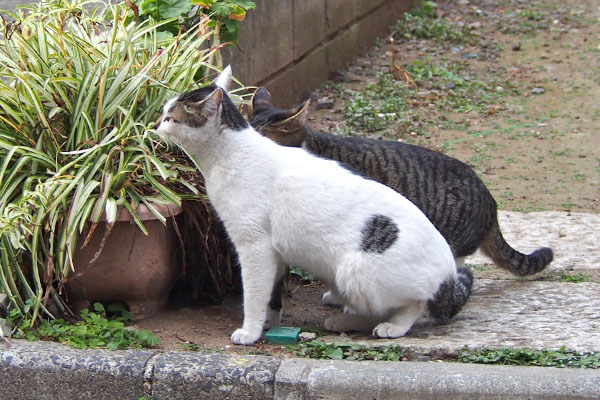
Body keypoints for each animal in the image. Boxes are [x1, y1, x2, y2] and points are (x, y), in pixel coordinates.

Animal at [156, 67, 474, 346]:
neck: (228, 156)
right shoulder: (275, 253)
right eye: (164, 114)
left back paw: (392, 326)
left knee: (414, 304)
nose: (155, 125)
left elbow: (254, 296)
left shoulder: (255, 247)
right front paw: (269, 324)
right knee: (374, 311)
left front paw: (249, 331)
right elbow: (273, 297)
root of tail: (448, 271)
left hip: (354, 272)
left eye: (172, 117)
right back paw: (344, 322)